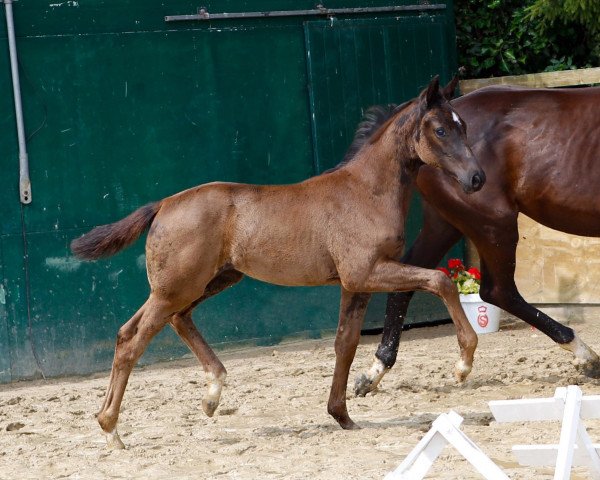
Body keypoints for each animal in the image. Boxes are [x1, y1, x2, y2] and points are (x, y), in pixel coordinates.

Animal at [71, 77, 482, 448]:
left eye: (463, 125)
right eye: (441, 129)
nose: (477, 178)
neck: (366, 192)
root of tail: (163, 205)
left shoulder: (356, 284)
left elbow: (345, 343)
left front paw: (342, 415)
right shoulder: (366, 272)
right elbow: (441, 280)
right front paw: (463, 363)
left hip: (206, 282)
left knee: (158, 324)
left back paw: (210, 394)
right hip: (178, 287)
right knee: (134, 339)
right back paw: (111, 429)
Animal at [354, 82, 600, 398]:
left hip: (446, 223)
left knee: (407, 283)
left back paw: (376, 370)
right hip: (493, 223)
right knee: (498, 291)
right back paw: (584, 354)